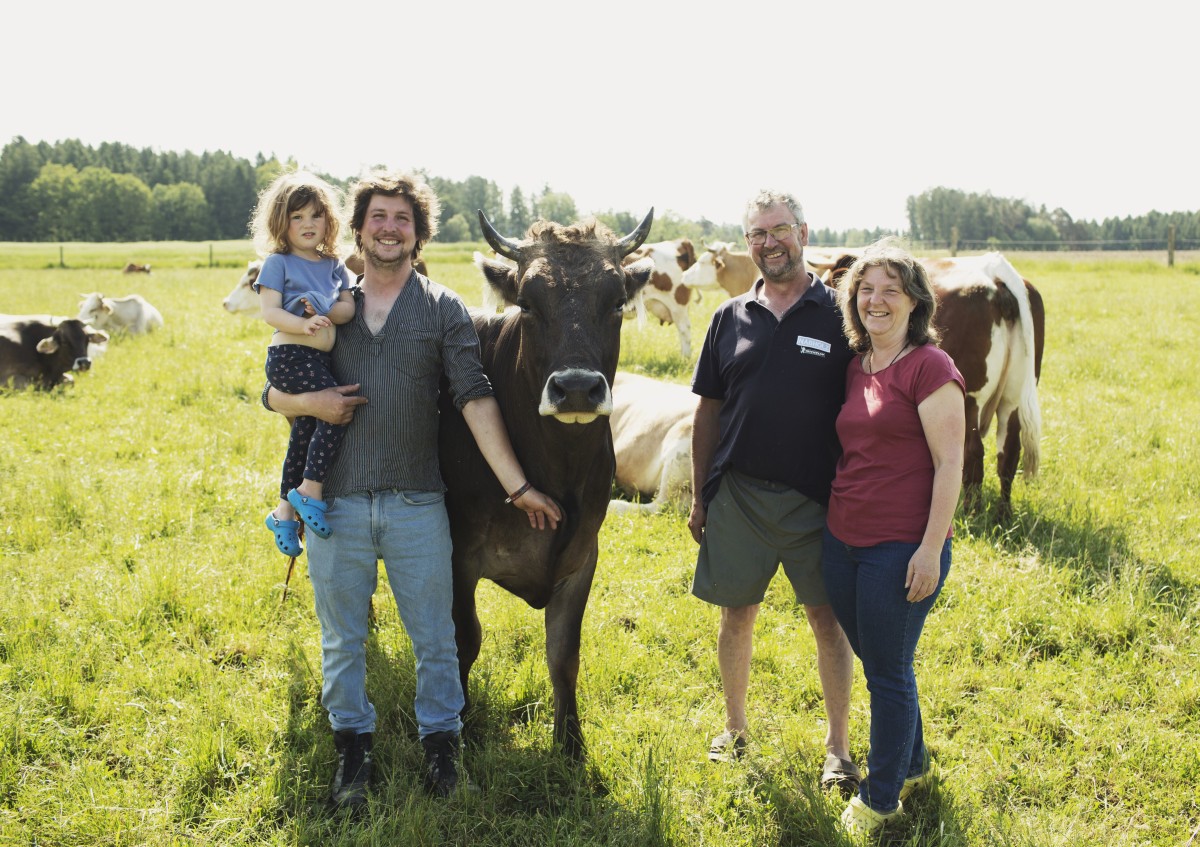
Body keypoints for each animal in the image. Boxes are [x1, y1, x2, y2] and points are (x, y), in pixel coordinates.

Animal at [436, 207, 652, 753]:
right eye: (528, 304)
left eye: (616, 301)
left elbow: (563, 654)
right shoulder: (456, 553)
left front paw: (570, 745)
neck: (559, 468)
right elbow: (464, 638)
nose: (576, 388)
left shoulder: (582, 556)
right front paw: (458, 723)